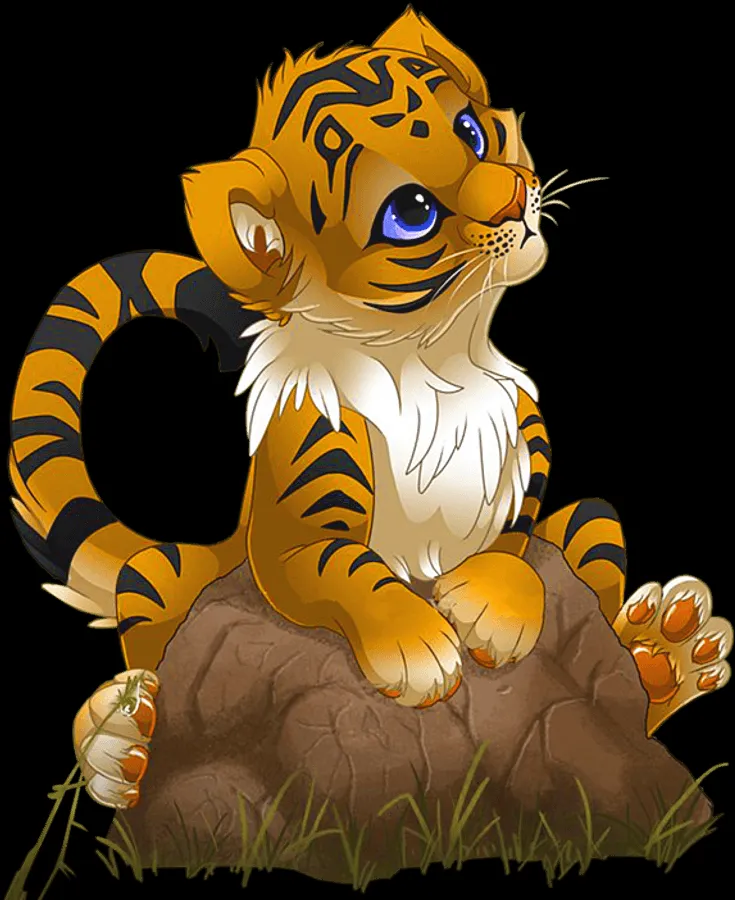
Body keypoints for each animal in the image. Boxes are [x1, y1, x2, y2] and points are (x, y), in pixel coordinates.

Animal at [8, 8, 732, 811]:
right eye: (411, 212)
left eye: (471, 131)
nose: (516, 197)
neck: (440, 355)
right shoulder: (295, 533)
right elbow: (346, 568)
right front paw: (417, 650)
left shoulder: (529, 476)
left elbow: (515, 549)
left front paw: (492, 609)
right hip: (165, 573)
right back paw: (120, 745)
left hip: (592, 522)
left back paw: (669, 651)